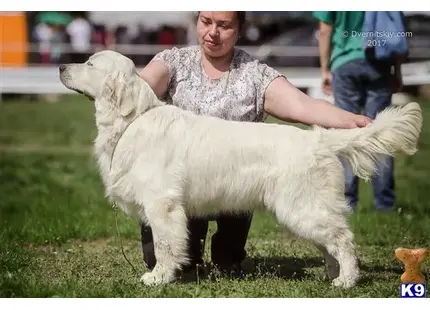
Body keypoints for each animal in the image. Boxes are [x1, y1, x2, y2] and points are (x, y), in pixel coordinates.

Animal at [58, 50, 424, 288]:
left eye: (89, 63)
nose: (60, 65)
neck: (133, 119)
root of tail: (320, 139)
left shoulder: (162, 205)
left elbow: (164, 245)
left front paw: (158, 278)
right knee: (331, 244)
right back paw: (332, 276)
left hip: (303, 208)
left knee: (343, 240)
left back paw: (346, 281)